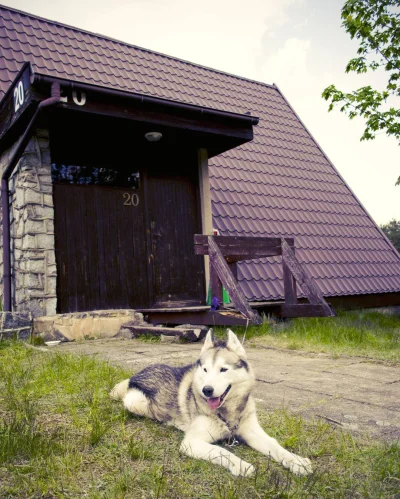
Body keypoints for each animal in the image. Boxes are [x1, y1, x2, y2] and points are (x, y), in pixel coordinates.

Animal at [111, 330, 314, 478]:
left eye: (223, 369)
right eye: (205, 369)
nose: (207, 390)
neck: (227, 413)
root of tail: (136, 373)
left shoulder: (252, 432)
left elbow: (276, 447)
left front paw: (296, 461)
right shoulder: (191, 443)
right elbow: (221, 451)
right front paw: (241, 465)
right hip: (135, 402)